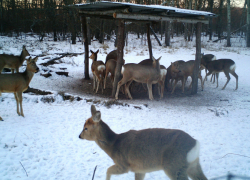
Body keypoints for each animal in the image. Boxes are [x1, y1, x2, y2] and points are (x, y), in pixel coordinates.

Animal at [79, 104, 208, 180]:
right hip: (193, 165)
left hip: (174, 165)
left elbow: (108, 170)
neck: (114, 145)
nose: (79, 136)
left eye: (86, 128)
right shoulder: (139, 169)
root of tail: (195, 144)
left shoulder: (124, 164)